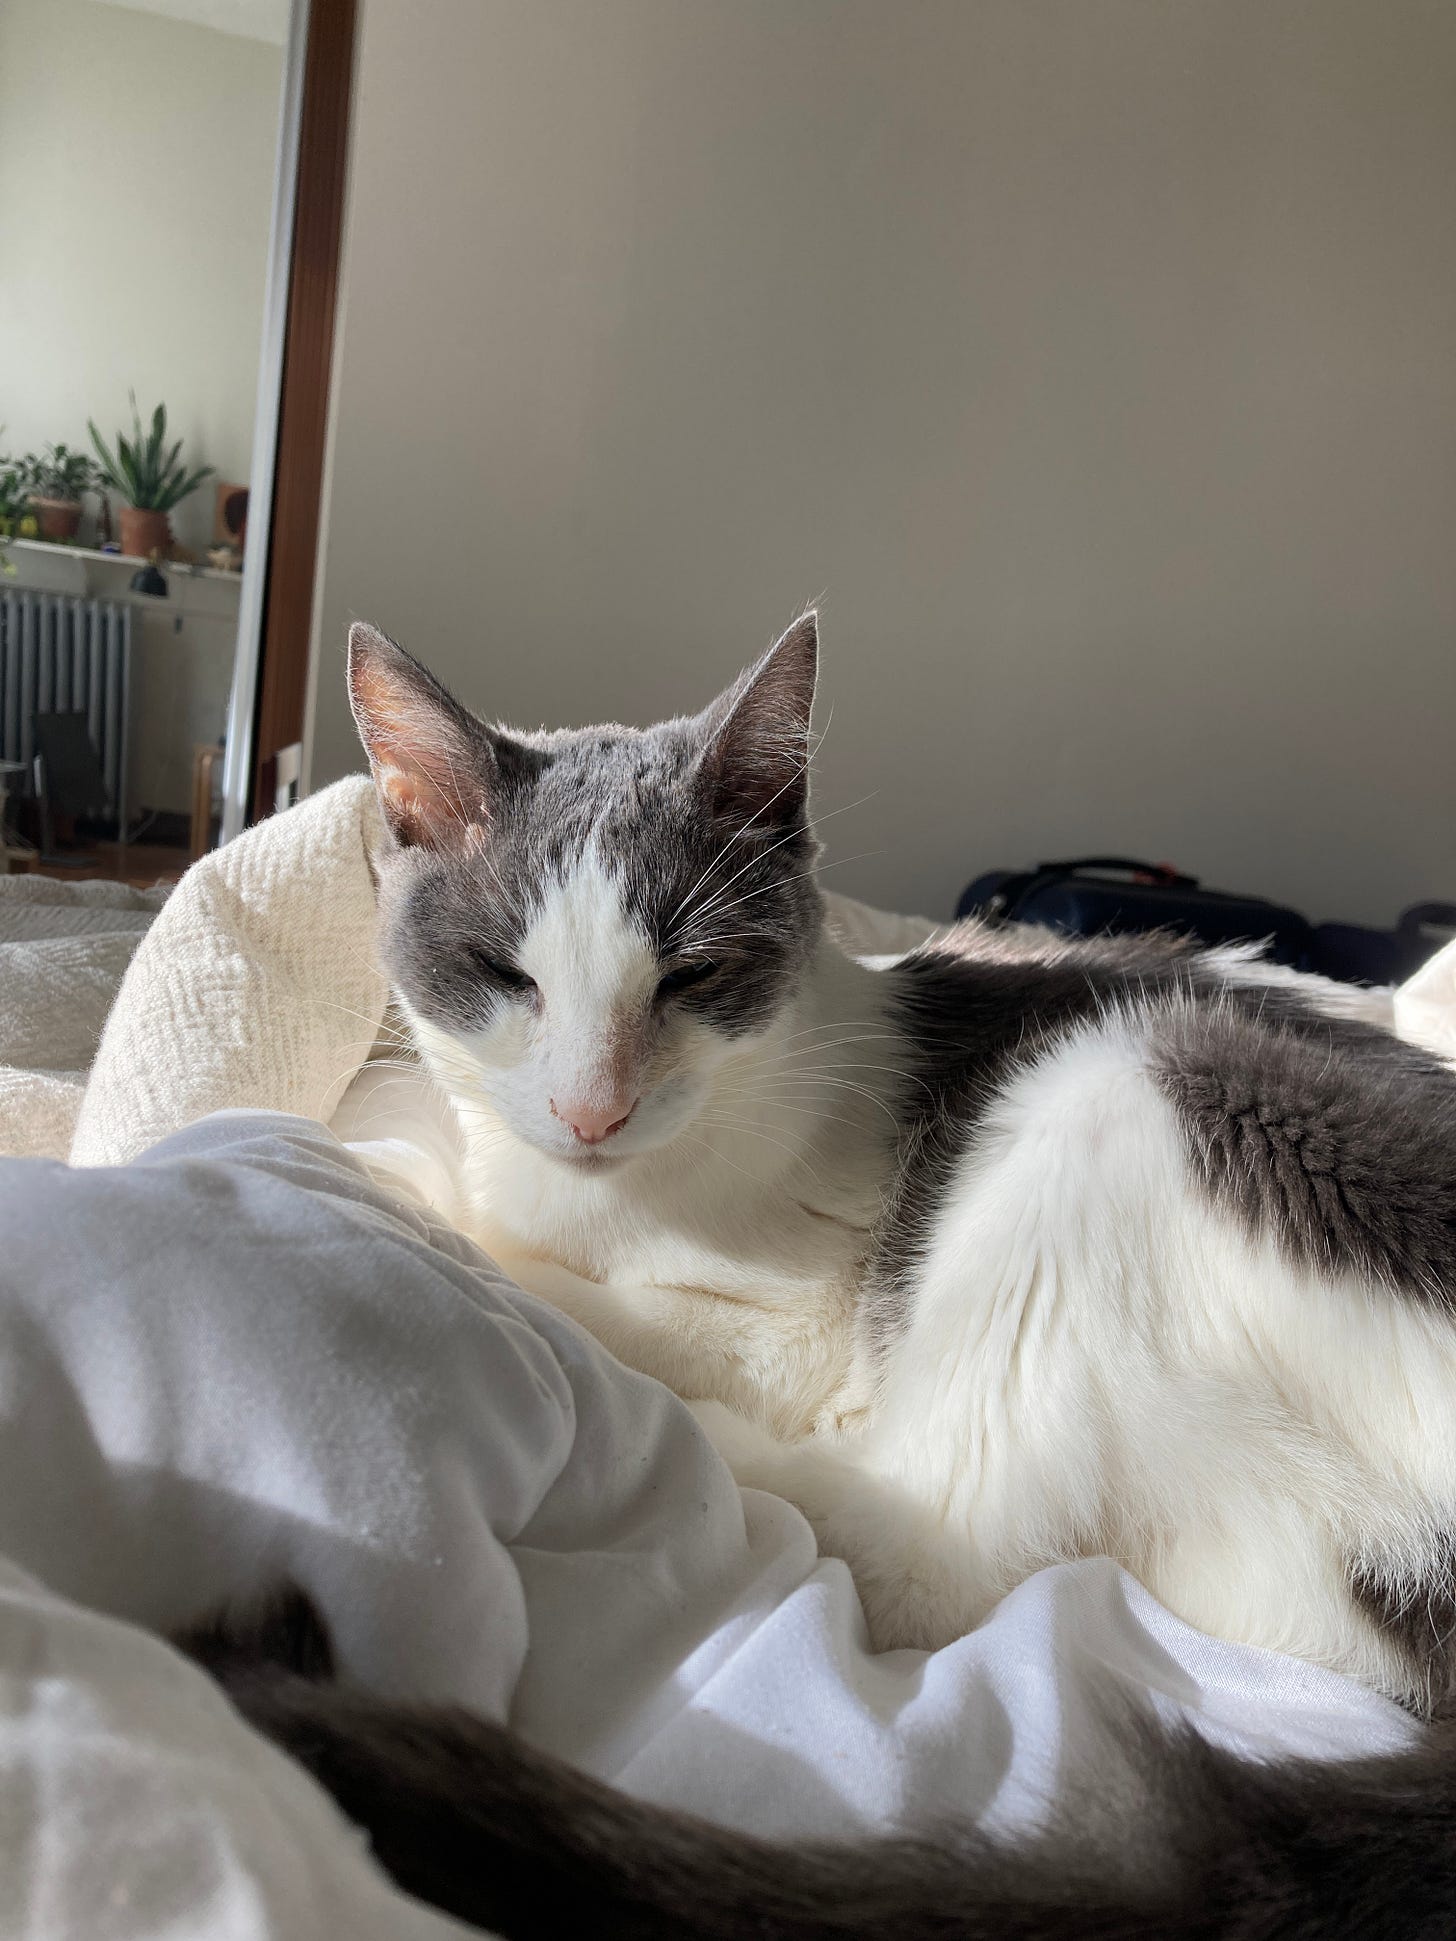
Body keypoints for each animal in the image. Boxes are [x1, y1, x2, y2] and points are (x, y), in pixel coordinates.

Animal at [213, 613, 1456, 1933]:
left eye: (693, 975)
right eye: (506, 972)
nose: (592, 1110)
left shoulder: (793, 1320)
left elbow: (545, 1267)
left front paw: (407, 1188)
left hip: (1133, 1080)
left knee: (931, 1543)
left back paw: (705, 1451)